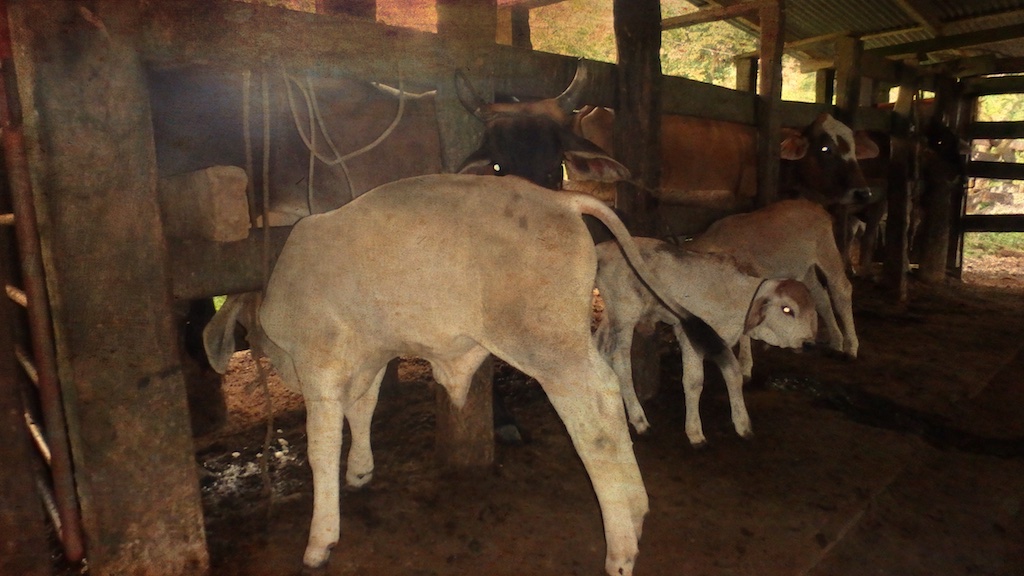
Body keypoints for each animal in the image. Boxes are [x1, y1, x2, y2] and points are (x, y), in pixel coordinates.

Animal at [202, 174, 743, 576]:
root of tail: (560, 199)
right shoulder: (371, 357)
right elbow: (362, 411)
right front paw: (360, 470)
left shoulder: (320, 367)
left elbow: (321, 448)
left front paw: (320, 541)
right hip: (568, 342)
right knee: (610, 391)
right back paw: (637, 508)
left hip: (547, 347)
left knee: (594, 424)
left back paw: (621, 548)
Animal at [594, 238, 818, 446]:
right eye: (787, 309)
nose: (808, 343)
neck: (736, 295)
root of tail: (603, 248)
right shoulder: (689, 335)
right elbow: (694, 382)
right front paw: (695, 433)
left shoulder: (721, 341)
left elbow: (734, 375)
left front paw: (742, 425)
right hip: (625, 316)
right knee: (621, 364)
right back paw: (639, 420)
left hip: (611, 316)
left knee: (599, 347)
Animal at [685, 199, 858, 373]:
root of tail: (816, 206)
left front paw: (744, 367)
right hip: (805, 268)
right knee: (821, 298)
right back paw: (835, 343)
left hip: (827, 252)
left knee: (841, 290)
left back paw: (850, 348)